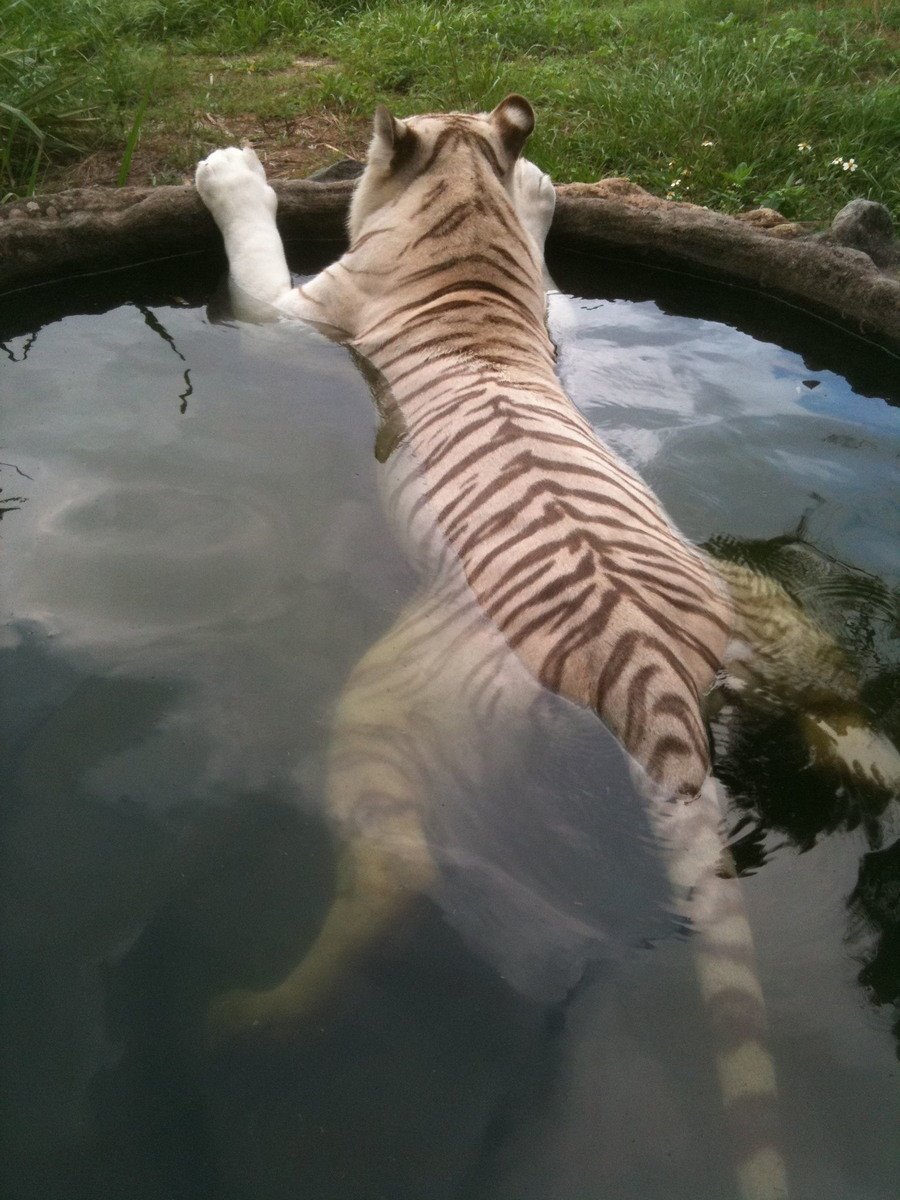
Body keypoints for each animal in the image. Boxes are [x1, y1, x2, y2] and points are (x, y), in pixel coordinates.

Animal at [194, 95, 898, 1200]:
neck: (462, 242)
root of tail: (652, 668)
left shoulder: (299, 316)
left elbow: (256, 264)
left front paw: (229, 174)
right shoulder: (546, 314)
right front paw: (539, 189)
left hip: (387, 707)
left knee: (395, 872)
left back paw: (252, 1016)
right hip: (773, 615)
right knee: (844, 717)